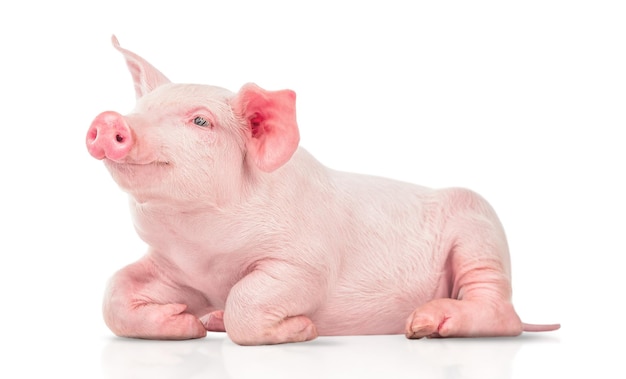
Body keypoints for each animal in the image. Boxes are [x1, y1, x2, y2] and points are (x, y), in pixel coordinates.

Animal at [85, 36, 560, 348]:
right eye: (140, 110)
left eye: (201, 121)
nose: (110, 120)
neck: (207, 254)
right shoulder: (176, 269)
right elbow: (114, 290)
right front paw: (188, 323)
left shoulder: (306, 262)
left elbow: (248, 299)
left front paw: (304, 330)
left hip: (479, 229)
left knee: (503, 311)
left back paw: (423, 325)